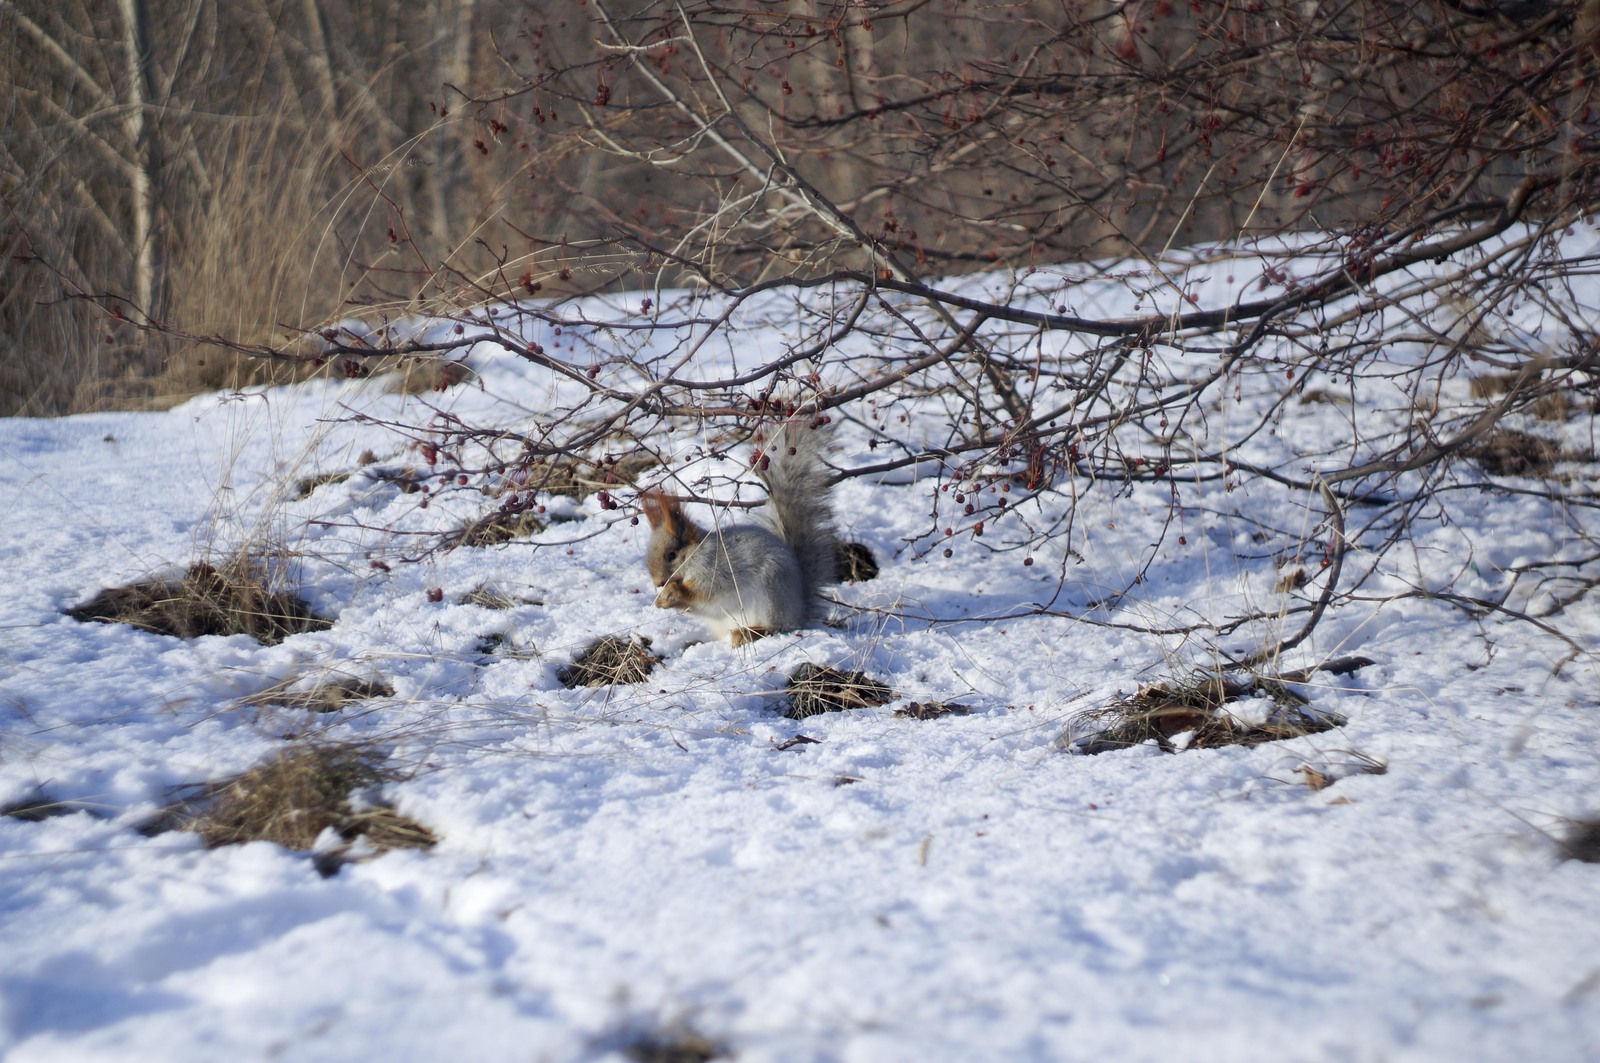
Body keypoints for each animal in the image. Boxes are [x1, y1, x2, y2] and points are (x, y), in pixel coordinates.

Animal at [640, 422, 844, 646]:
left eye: (672, 555)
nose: (658, 583)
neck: (696, 554)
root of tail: (799, 610)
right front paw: (661, 600)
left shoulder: (716, 570)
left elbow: (704, 593)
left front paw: (673, 592)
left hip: (772, 595)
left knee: (778, 626)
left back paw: (750, 633)